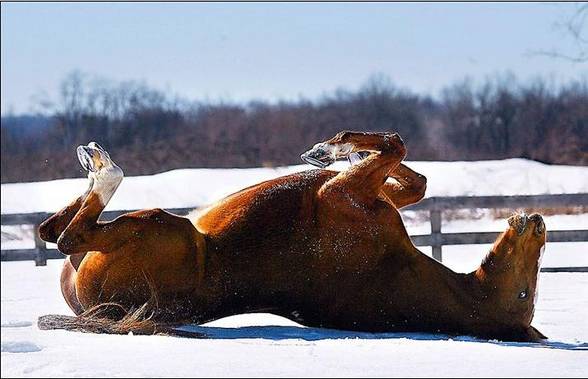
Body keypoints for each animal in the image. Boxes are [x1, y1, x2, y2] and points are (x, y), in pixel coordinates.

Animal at [38, 132, 548, 342]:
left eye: (526, 293)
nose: (539, 222)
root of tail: (104, 308)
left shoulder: (342, 192)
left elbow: (394, 146)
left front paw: (331, 147)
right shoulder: (364, 193)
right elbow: (415, 180)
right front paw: (337, 151)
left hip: (161, 227)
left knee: (67, 237)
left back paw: (102, 165)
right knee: (51, 230)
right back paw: (91, 162)